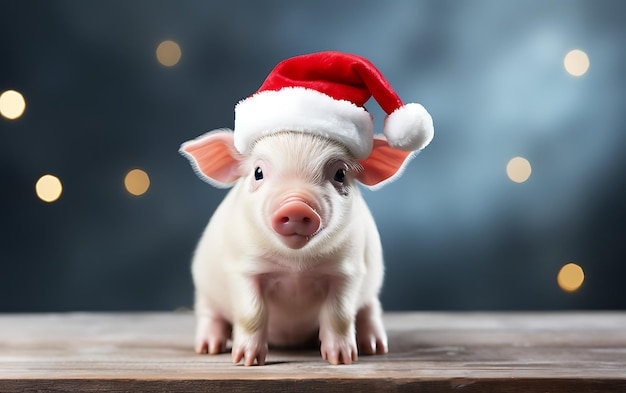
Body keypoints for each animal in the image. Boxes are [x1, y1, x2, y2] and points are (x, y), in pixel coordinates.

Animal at [178, 129, 416, 364]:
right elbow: (252, 313)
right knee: (210, 316)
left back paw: (375, 348)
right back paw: (208, 348)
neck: (296, 266)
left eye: (340, 173)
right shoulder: (242, 267)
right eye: (258, 172)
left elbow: (339, 315)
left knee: (369, 312)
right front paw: (246, 361)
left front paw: (342, 359)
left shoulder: (348, 269)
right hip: (205, 291)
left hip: (371, 291)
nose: (296, 206)